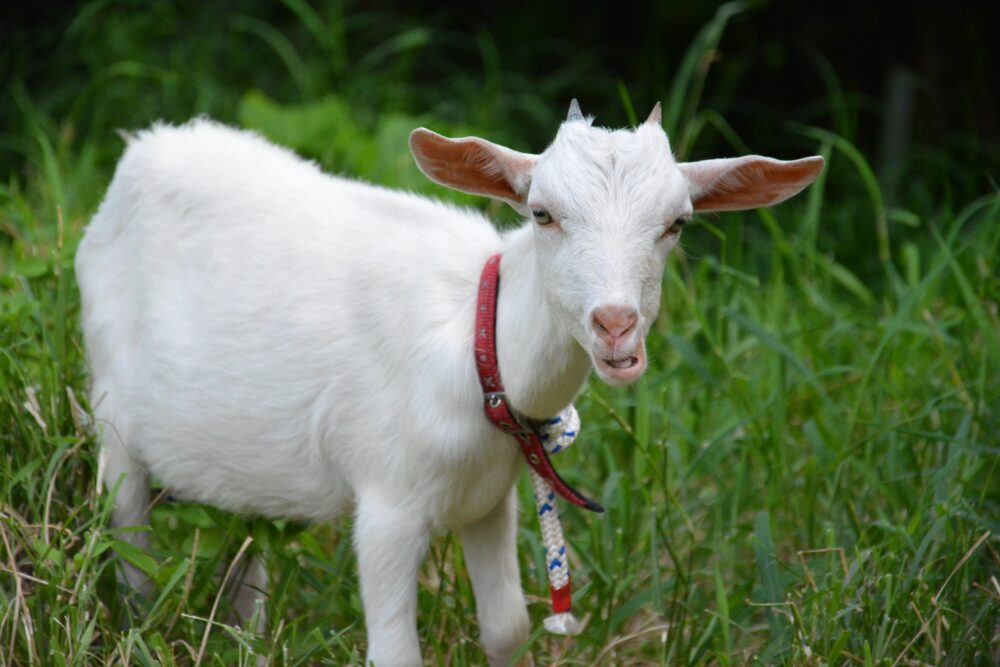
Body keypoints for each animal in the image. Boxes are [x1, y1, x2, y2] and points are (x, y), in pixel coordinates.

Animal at [78, 100, 824, 667]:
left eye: (677, 223)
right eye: (542, 213)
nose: (615, 327)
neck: (478, 347)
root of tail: (141, 149)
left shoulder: (490, 497)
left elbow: (508, 628)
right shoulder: (387, 503)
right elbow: (394, 653)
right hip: (112, 411)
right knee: (133, 554)